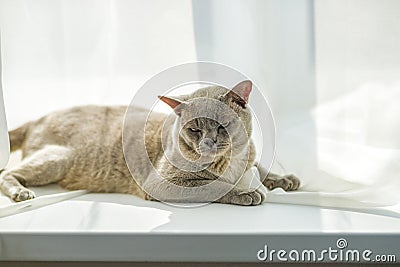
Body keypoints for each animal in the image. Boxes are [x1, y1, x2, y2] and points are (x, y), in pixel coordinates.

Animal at [0, 80, 300, 206]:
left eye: (222, 125)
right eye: (194, 130)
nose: (209, 143)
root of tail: (38, 117)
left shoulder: (250, 156)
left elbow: (260, 167)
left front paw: (284, 179)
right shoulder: (162, 182)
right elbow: (212, 186)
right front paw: (246, 192)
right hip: (58, 158)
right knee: (7, 173)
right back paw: (21, 193)